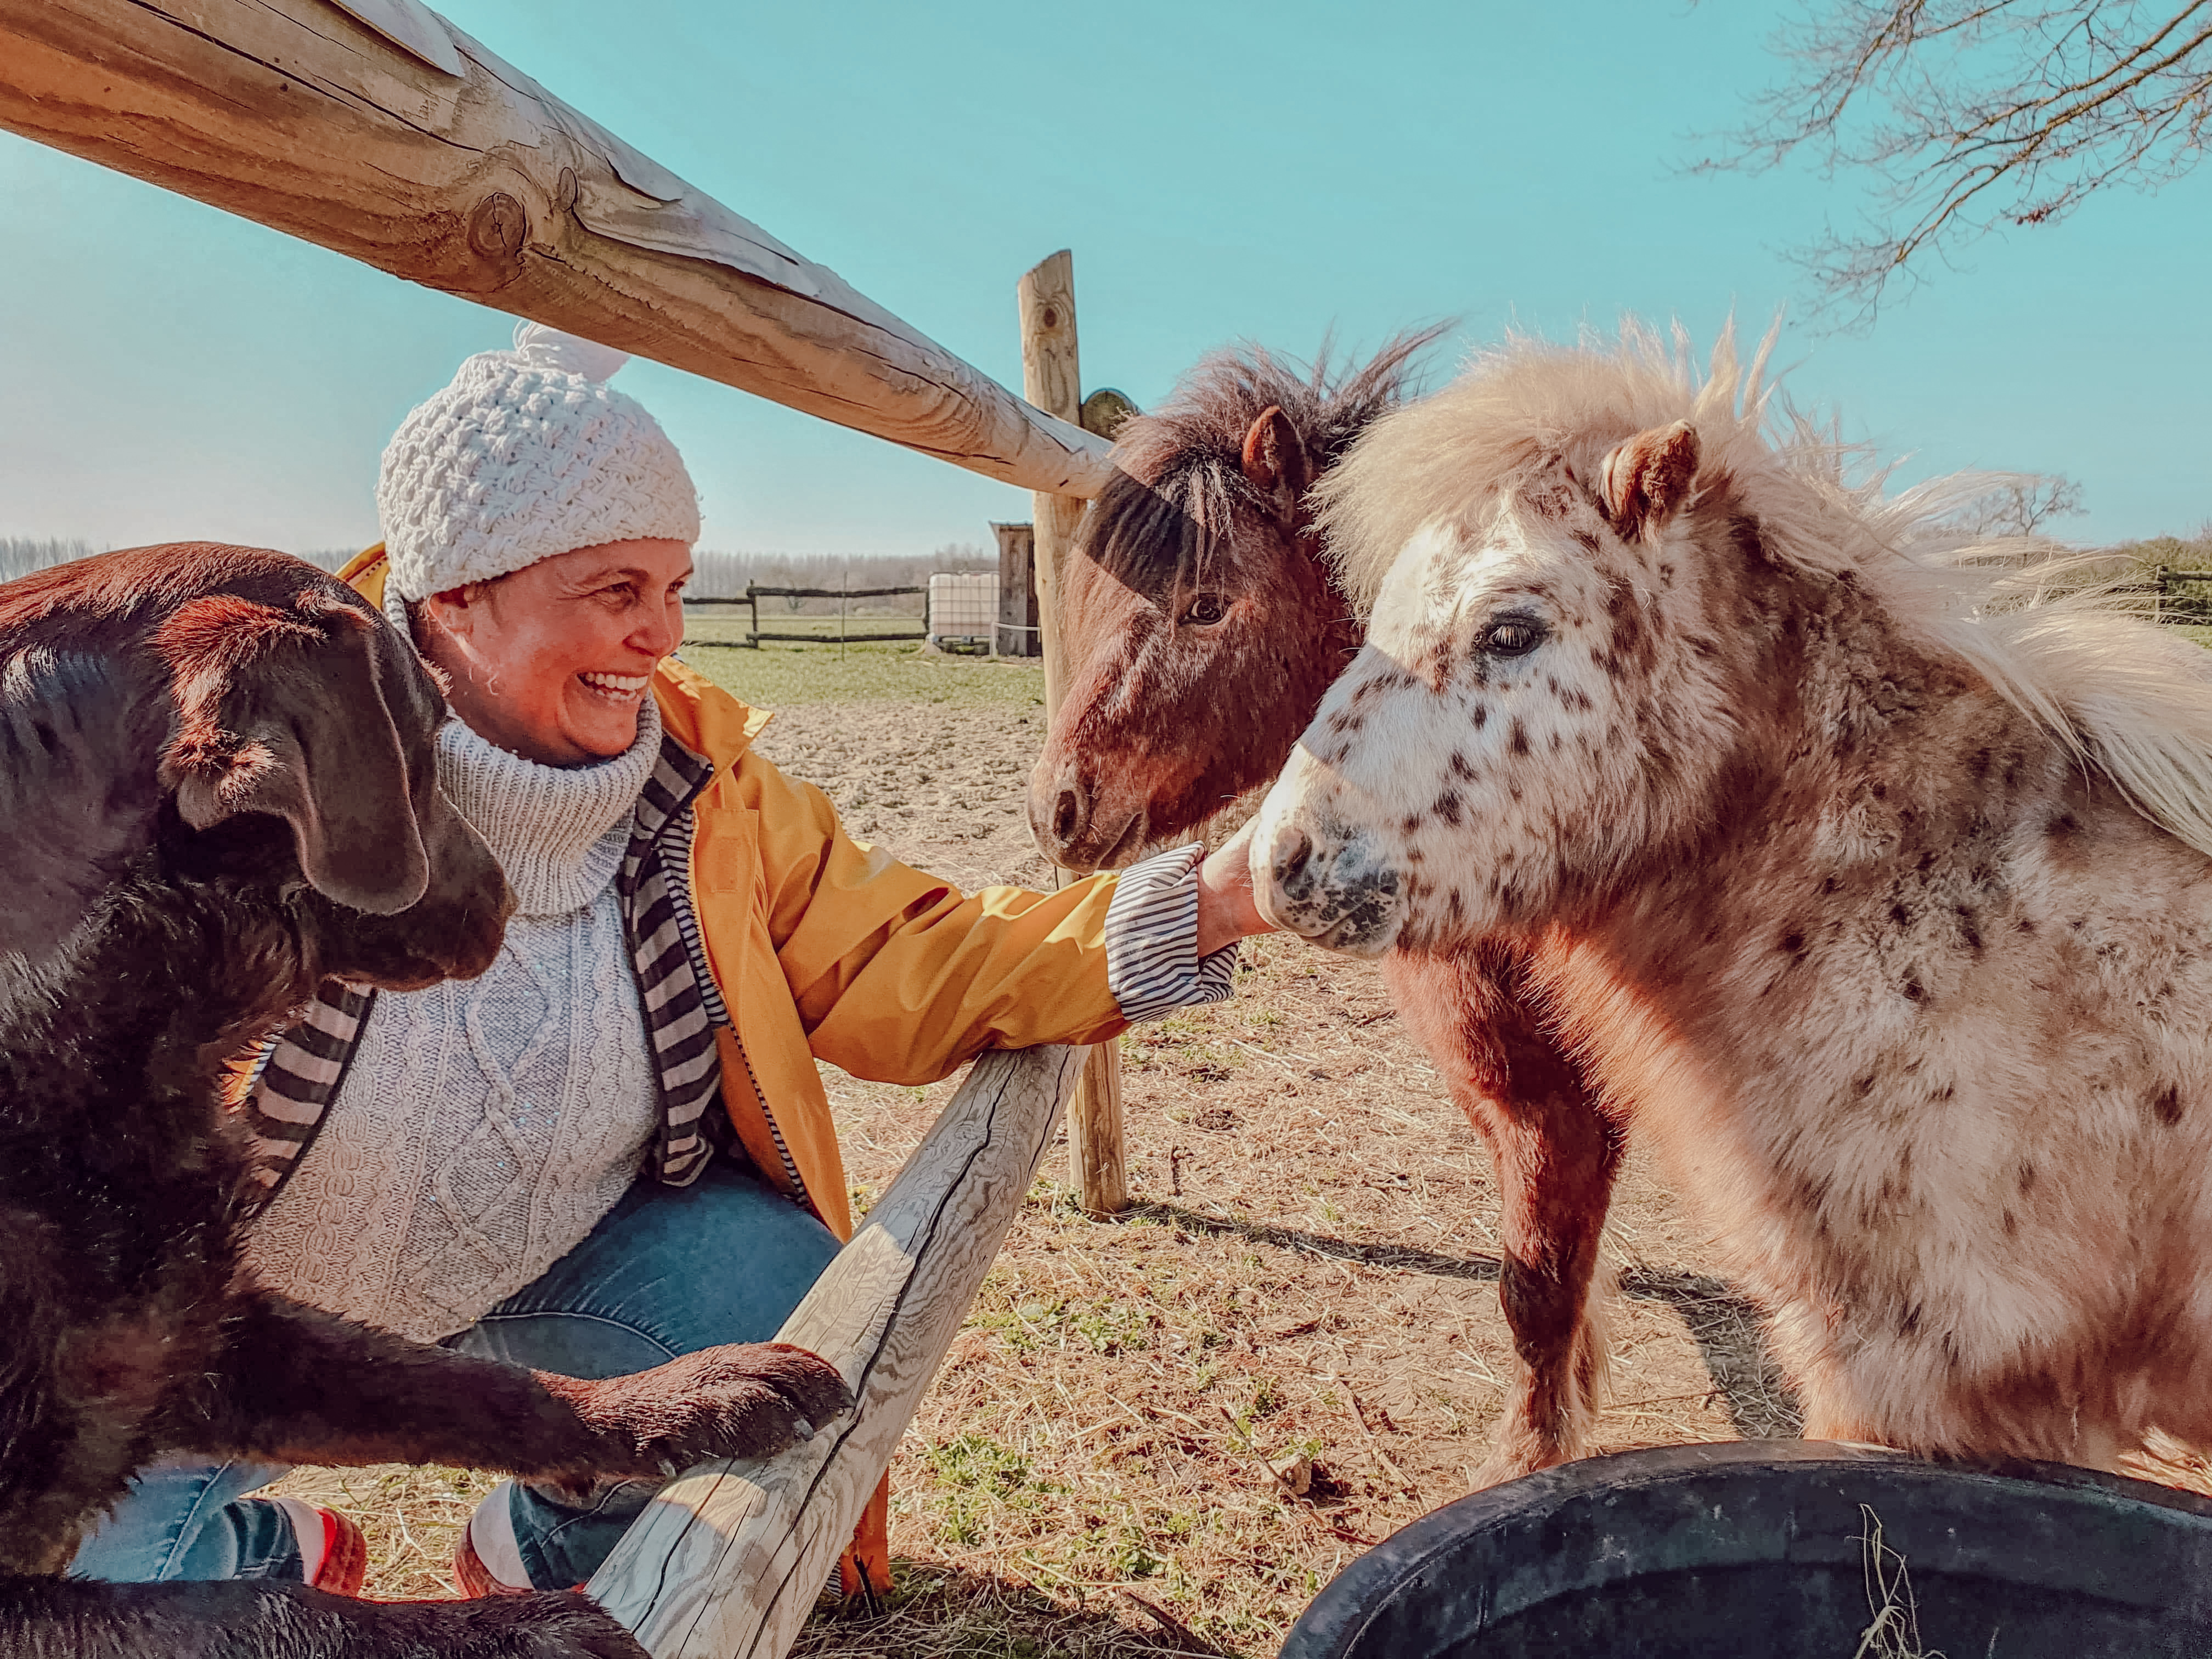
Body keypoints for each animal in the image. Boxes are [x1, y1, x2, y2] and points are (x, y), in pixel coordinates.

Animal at [0, 541, 849, 1654]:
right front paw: (524, 1631)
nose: (505, 894)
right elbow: (260, 1611)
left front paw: (676, 1398)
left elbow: (473, 1386)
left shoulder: (215, 1335)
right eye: (426, 734)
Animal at [1026, 331, 1637, 1486]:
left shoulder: (1563, 1102)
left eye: (1206, 603)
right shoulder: (1511, 1084)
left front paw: (1528, 1462)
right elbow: (1548, 1268)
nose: (1056, 806)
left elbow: (1538, 1287)